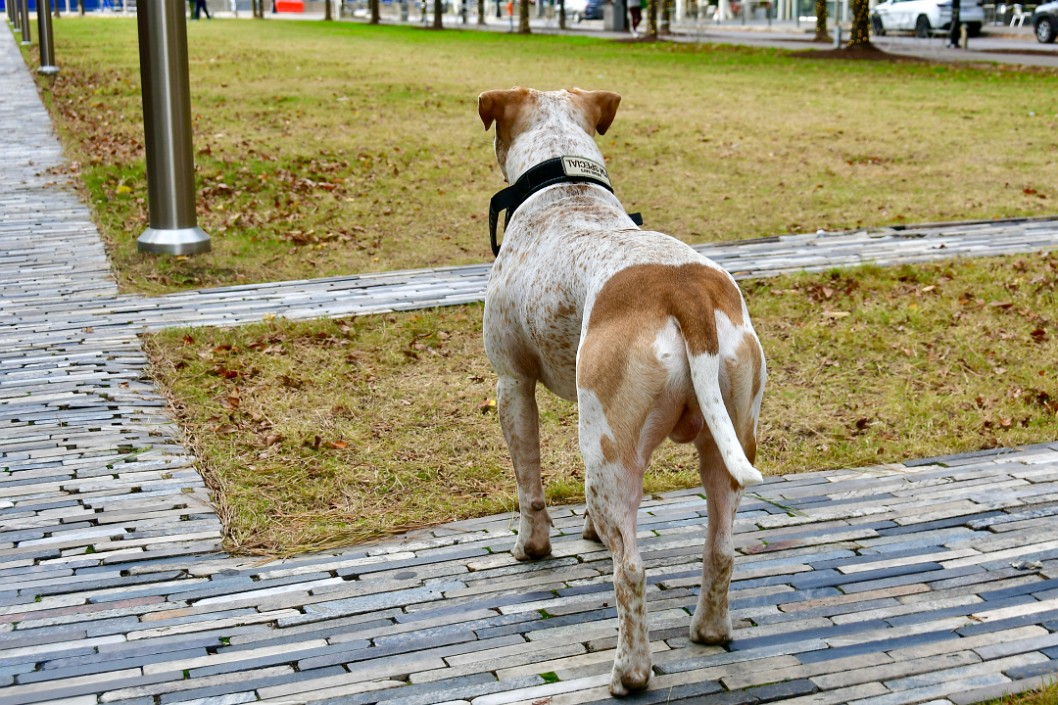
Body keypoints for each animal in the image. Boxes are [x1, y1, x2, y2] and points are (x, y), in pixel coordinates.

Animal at [480, 86, 770, 690]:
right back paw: (710, 631)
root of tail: (684, 294)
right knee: (721, 550)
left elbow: (529, 483)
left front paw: (531, 548)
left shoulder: (512, 384)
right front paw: (590, 532)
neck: (565, 190)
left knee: (630, 569)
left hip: (613, 454)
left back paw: (629, 673)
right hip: (725, 443)